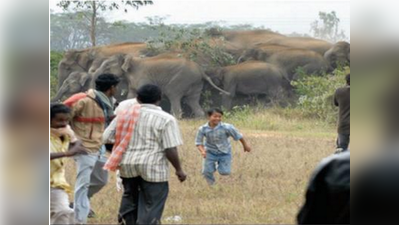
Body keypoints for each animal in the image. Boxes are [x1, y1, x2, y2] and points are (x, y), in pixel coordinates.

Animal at [92, 53, 230, 118]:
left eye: (107, 66)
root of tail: (202, 71)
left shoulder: (143, 77)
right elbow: (130, 96)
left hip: (181, 80)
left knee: (174, 96)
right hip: (195, 83)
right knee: (192, 101)